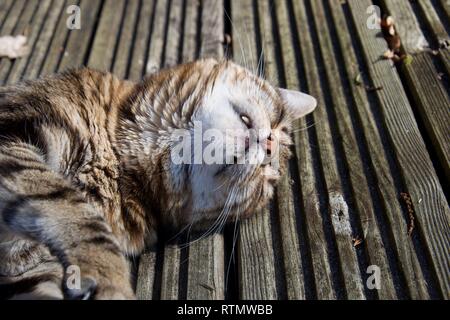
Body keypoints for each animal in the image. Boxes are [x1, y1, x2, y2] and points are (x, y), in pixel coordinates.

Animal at [0, 58, 316, 300]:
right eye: (276, 119)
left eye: (266, 178)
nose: (270, 145)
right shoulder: (13, 134)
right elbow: (69, 208)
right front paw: (111, 276)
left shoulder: (33, 271)